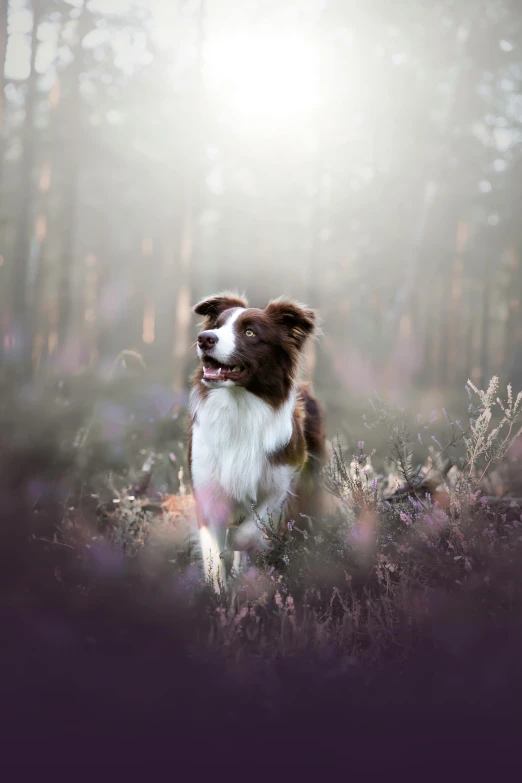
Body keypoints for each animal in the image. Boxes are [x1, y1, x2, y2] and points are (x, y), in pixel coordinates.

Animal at [187, 290, 324, 592]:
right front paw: (217, 594)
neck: (238, 406)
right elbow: (213, 552)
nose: (205, 339)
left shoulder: (281, 481)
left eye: (249, 333)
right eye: (217, 326)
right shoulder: (206, 485)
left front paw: (242, 545)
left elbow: (249, 531)